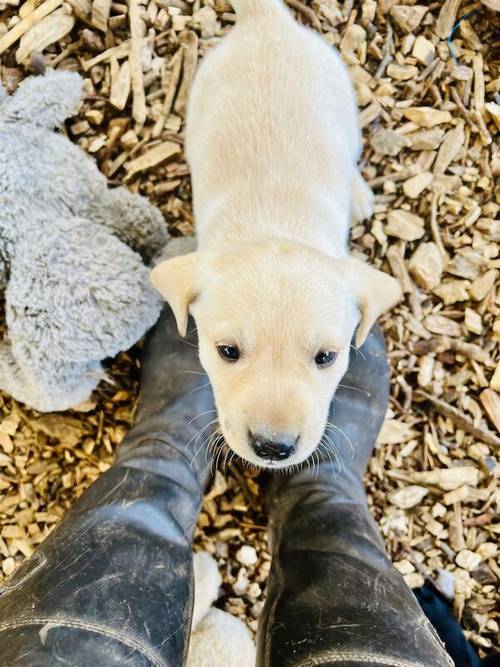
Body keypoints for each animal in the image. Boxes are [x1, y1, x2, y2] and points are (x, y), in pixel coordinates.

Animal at [150, 0, 400, 470]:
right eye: (227, 351)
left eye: (327, 357)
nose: (272, 448)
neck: (273, 224)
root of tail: (263, 21)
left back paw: (358, 194)